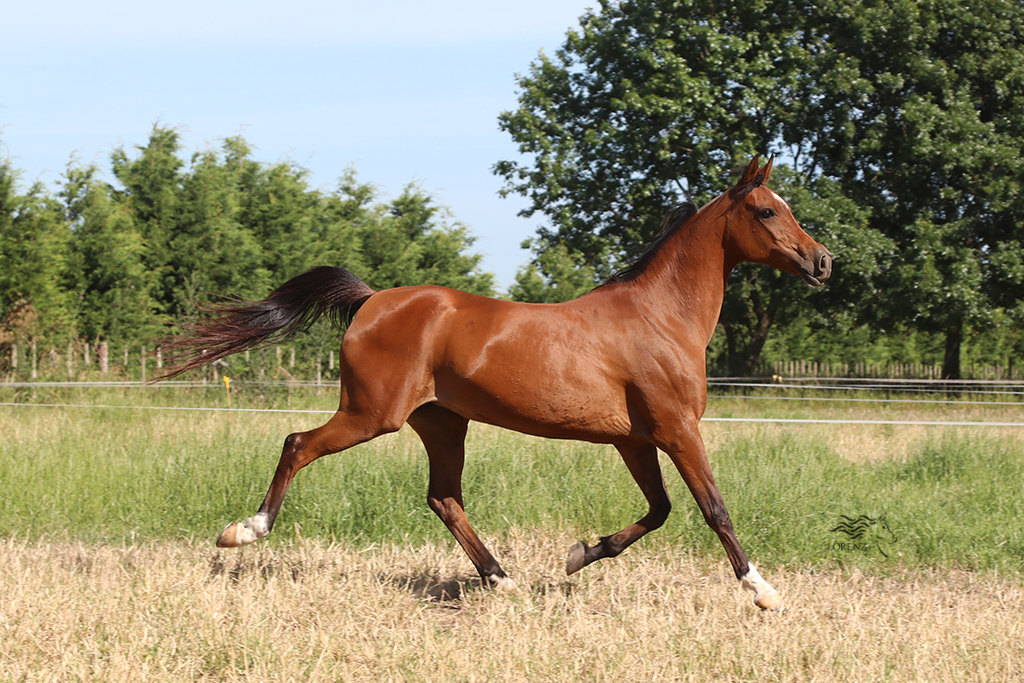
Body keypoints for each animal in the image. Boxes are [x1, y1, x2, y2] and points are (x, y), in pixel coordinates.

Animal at [162, 155, 832, 611]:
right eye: (767, 210)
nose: (822, 262)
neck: (659, 318)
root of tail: (372, 300)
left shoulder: (635, 440)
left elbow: (660, 510)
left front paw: (579, 555)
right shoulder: (676, 429)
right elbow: (714, 508)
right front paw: (763, 591)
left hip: (441, 421)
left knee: (443, 497)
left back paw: (502, 578)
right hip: (371, 414)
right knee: (298, 444)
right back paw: (244, 531)